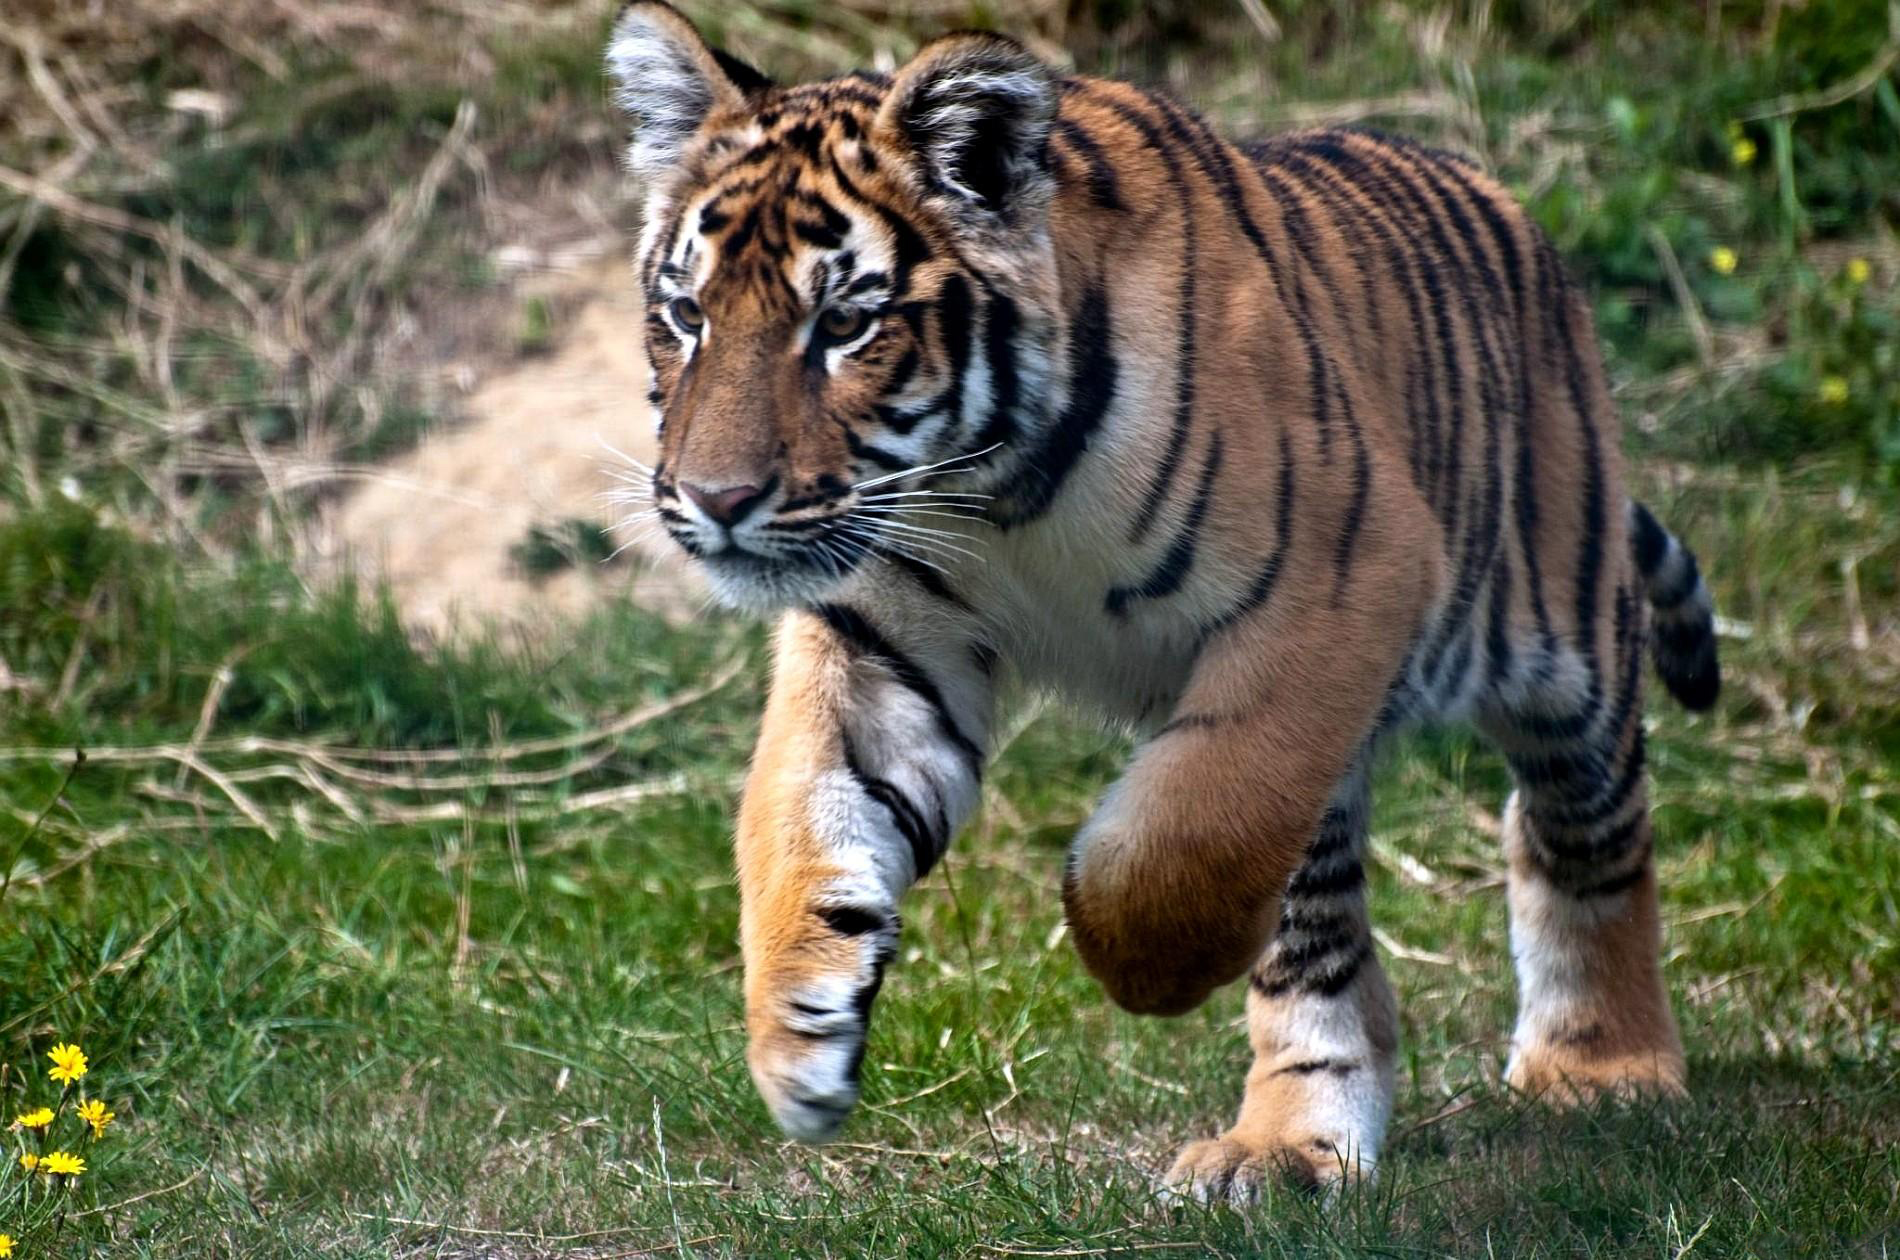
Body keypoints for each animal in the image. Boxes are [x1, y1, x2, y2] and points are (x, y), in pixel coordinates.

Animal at [604, 2, 1725, 1201]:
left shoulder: (1345, 577)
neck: (990, 492)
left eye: (846, 325)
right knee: (1327, 944)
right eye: (686, 315)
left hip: (1559, 639)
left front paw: (1136, 965)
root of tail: (1510, 212)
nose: (716, 501)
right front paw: (794, 1038)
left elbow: (1182, 834)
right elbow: (799, 817)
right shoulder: (878, 635)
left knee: (1579, 832)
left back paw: (1603, 1068)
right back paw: (1287, 1144)